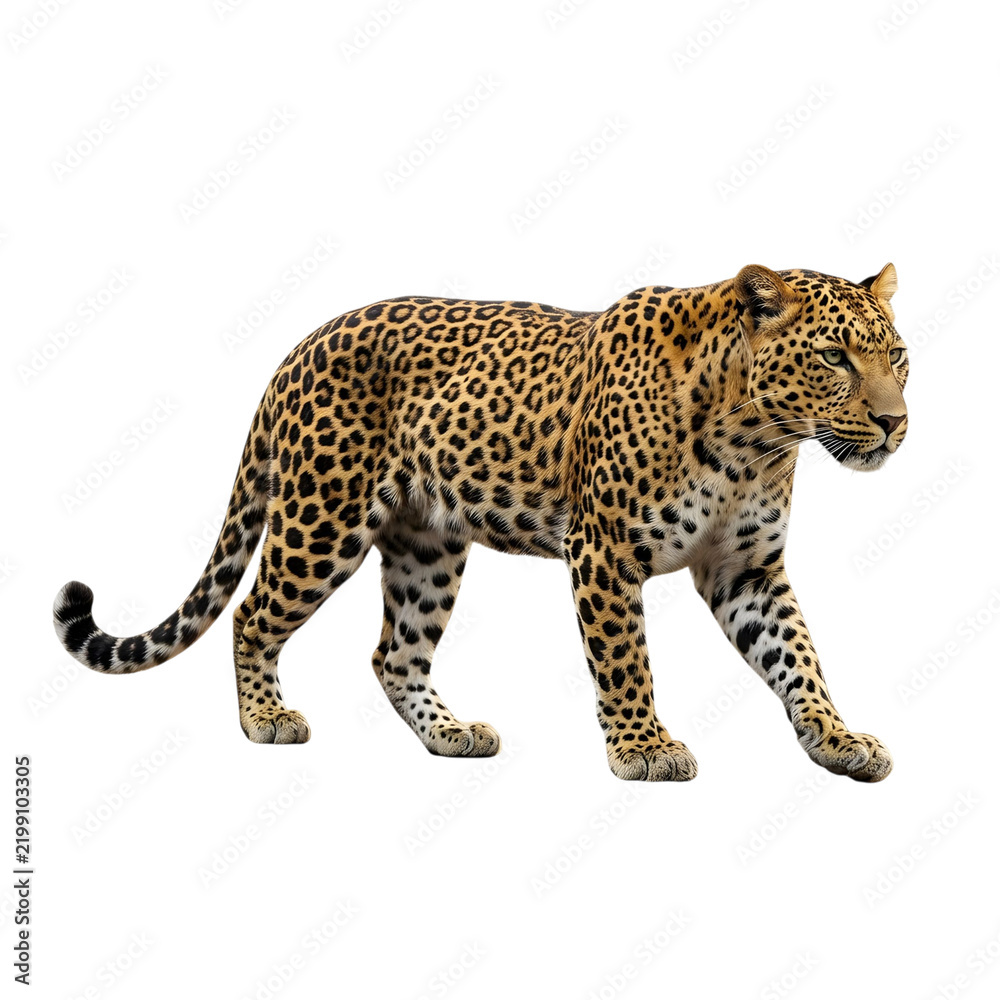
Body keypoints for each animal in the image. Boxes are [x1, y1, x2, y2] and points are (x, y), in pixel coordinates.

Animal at [53, 262, 908, 781]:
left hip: (427, 545)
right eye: (833, 357)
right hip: (322, 521)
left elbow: (798, 657)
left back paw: (450, 733)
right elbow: (625, 660)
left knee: (394, 652)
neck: (757, 442)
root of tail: (300, 345)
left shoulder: (745, 569)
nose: (895, 423)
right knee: (253, 615)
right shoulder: (603, 551)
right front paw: (644, 748)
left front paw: (837, 739)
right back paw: (265, 717)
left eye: (897, 356)